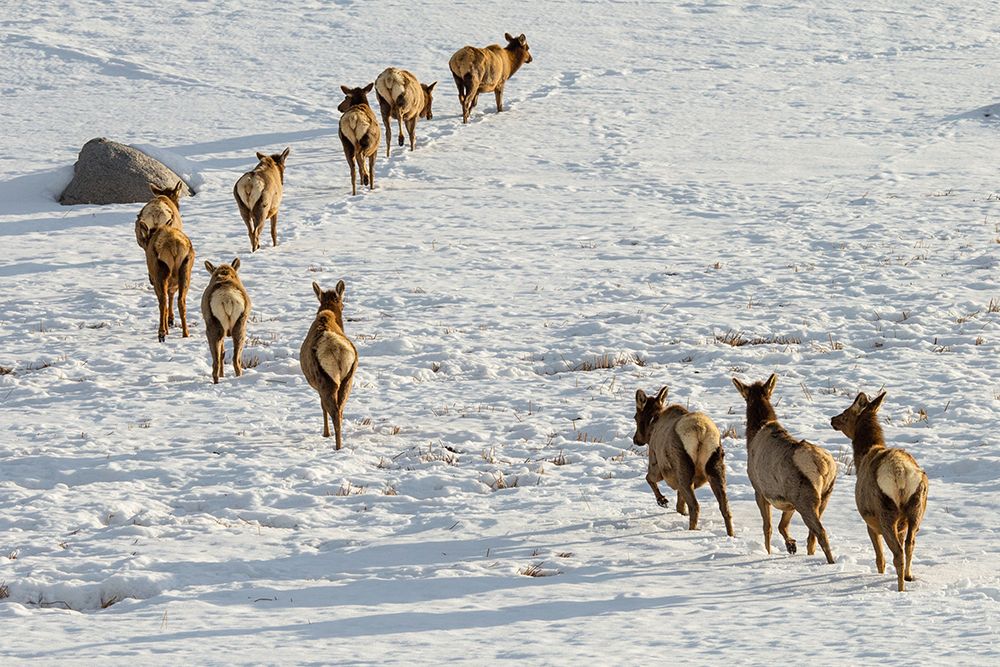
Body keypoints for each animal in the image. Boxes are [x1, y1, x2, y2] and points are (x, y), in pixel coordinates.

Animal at [300, 280, 358, 448]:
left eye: (343, 305)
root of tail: (336, 350)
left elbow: (322, 406)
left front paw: (325, 434)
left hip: (326, 380)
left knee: (334, 411)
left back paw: (337, 447)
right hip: (348, 379)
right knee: (341, 410)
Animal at [633, 386, 734, 536]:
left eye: (635, 417)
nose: (636, 439)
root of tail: (701, 431)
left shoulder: (656, 463)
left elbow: (649, 478)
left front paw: (662, 500)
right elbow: (680, 503)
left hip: (682, 466)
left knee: (695, 506)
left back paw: (691, 530)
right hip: (715, 466)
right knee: (725, 507)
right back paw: (731, 535)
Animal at [733, 374, 837, 563]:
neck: (754, 432)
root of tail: (824, 466)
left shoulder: (760, 490)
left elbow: (768, 528)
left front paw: (769, 552)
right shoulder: (789, 501)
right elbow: (782, 525)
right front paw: (791, 545)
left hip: (805, 499)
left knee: (820, 533)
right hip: (825, 496)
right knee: (811, 537)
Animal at [831, 392, 929, 591]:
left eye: (845, 414)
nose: (832, 419)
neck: (862, 456)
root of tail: (900, 472)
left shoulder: (870, 523)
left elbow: (879, 559)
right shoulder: (901, 525)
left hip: (884, 512)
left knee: (897, 554)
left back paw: (900, 589)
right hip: (917, 508)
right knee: (910, 544)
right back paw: (908, 577)